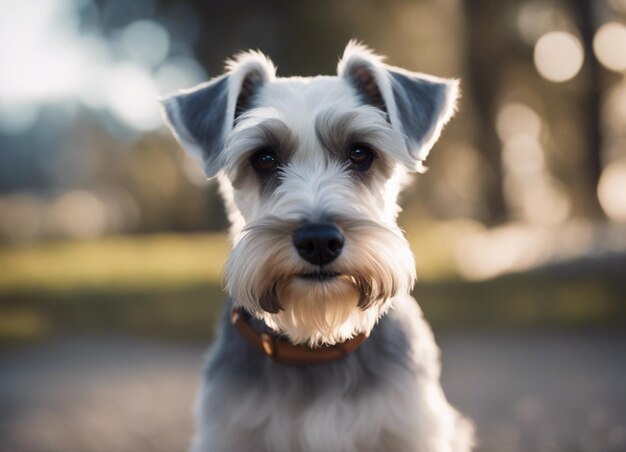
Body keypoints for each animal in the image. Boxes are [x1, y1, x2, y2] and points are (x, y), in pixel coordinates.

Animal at [161, 42, 472, 452]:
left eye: (360, 153)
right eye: (264, 157)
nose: (319, 241)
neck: (316, 342)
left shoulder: (410, 430)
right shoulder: (230, 433)